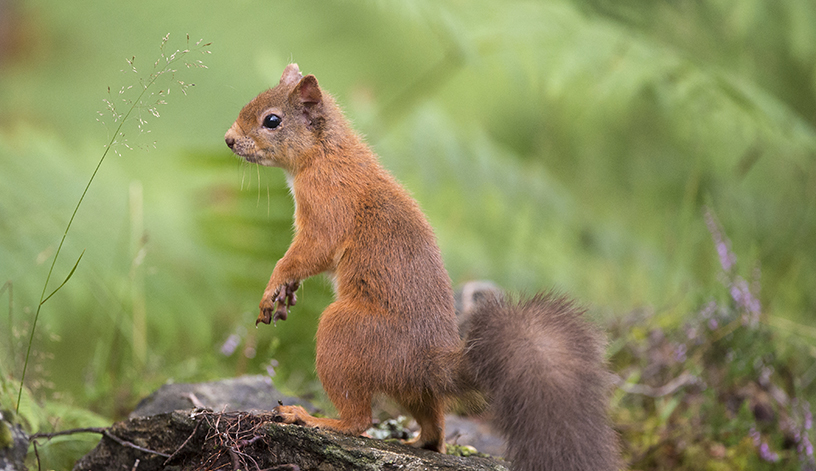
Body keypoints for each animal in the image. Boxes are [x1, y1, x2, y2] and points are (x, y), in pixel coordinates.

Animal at [223, 63, 620, 471]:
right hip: (410, 389)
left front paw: (274, 286)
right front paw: (285, 293)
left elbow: (308, 253)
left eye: (272, 120)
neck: (325, 154)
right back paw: (419, 439)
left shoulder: (327, 205)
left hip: (343, 333)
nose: (229, 140)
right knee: (432, 424)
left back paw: (311, 418)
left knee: (359, 420)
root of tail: (425, 361)